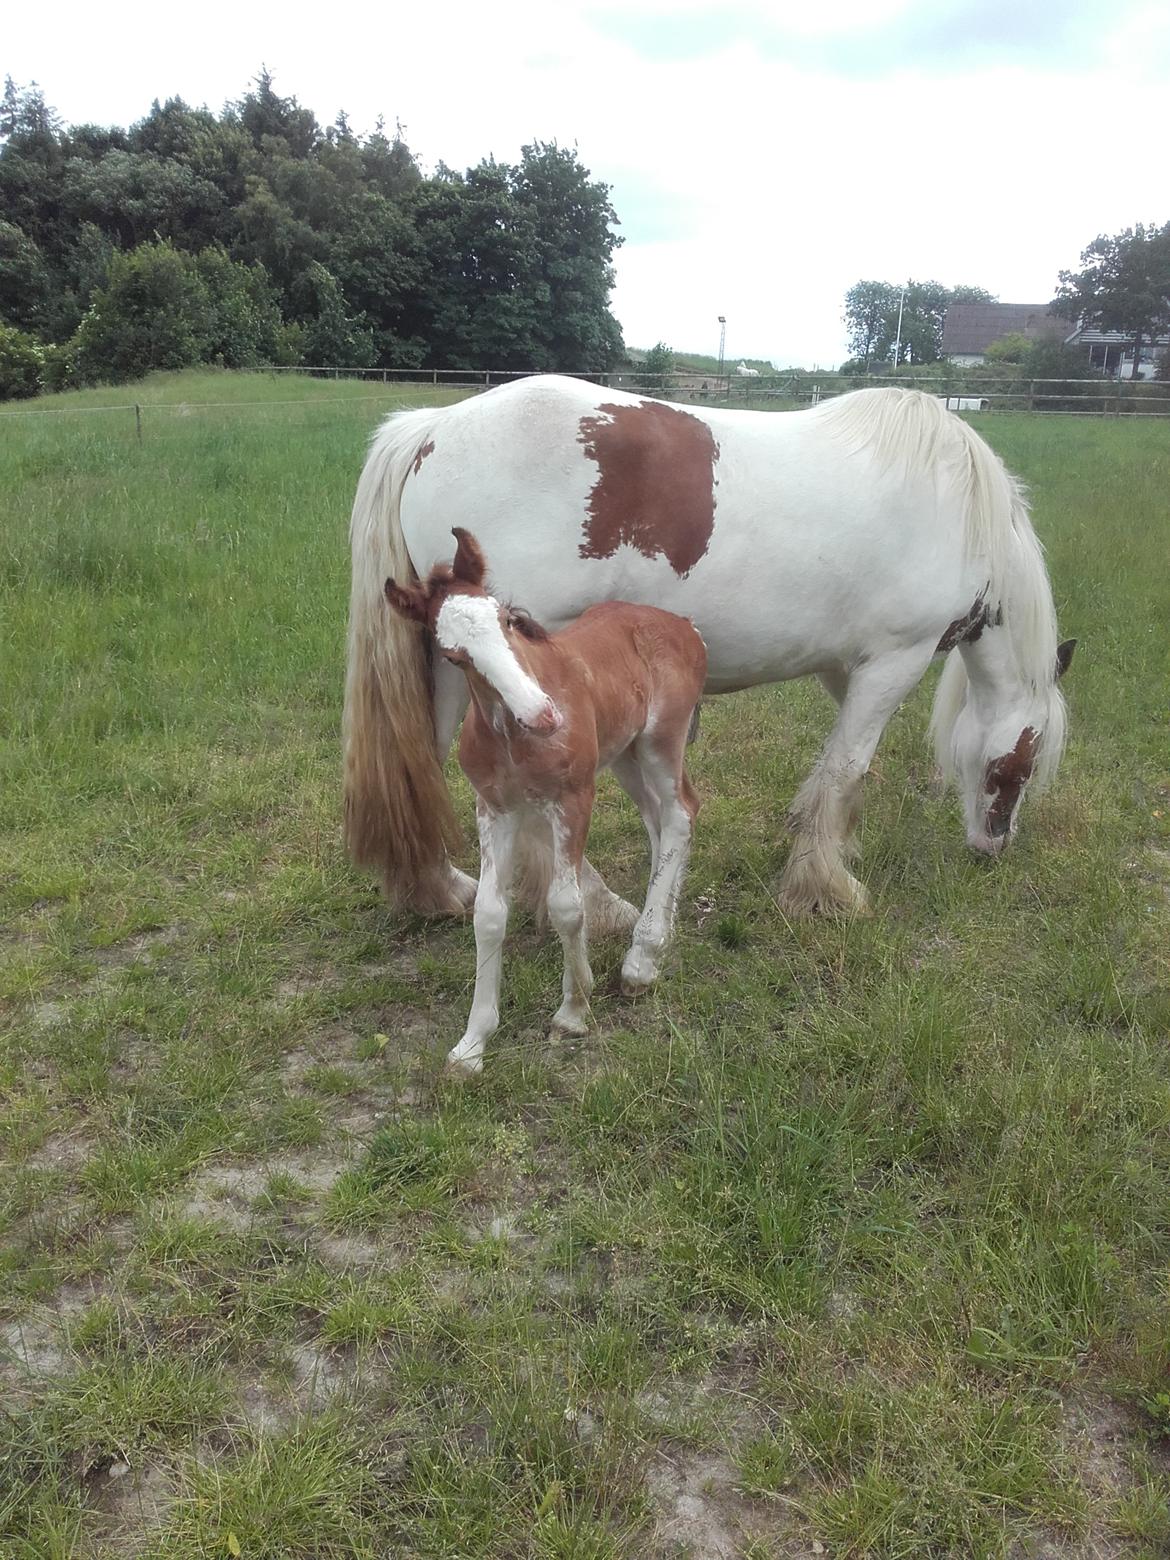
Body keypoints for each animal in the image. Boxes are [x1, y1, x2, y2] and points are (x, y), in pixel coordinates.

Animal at [343, 374, 1079, 911]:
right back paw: (601, 908)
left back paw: (440, 889)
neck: (959, 507)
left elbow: (844, 775)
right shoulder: (894, 660)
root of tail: (432, 428)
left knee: (420, 762)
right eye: (1019, 767)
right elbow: (845, 769)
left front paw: (834, 853)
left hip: (447, 668)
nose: (992, 847)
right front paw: (825, 887)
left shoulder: (849, 666)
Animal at [390, 524, 711, 1073]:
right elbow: (489, 914)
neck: (512, 738)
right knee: (658, 822)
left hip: (659, 742)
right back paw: (656, 939)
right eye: (454, 656)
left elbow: (566, 904)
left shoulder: (573, 798)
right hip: (624, 753)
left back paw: (640, 959)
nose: (544, 715)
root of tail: (682, 624)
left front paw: (574, 1010)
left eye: (506, 619)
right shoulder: (495, 809)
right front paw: (472, 1043)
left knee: (680, 813)